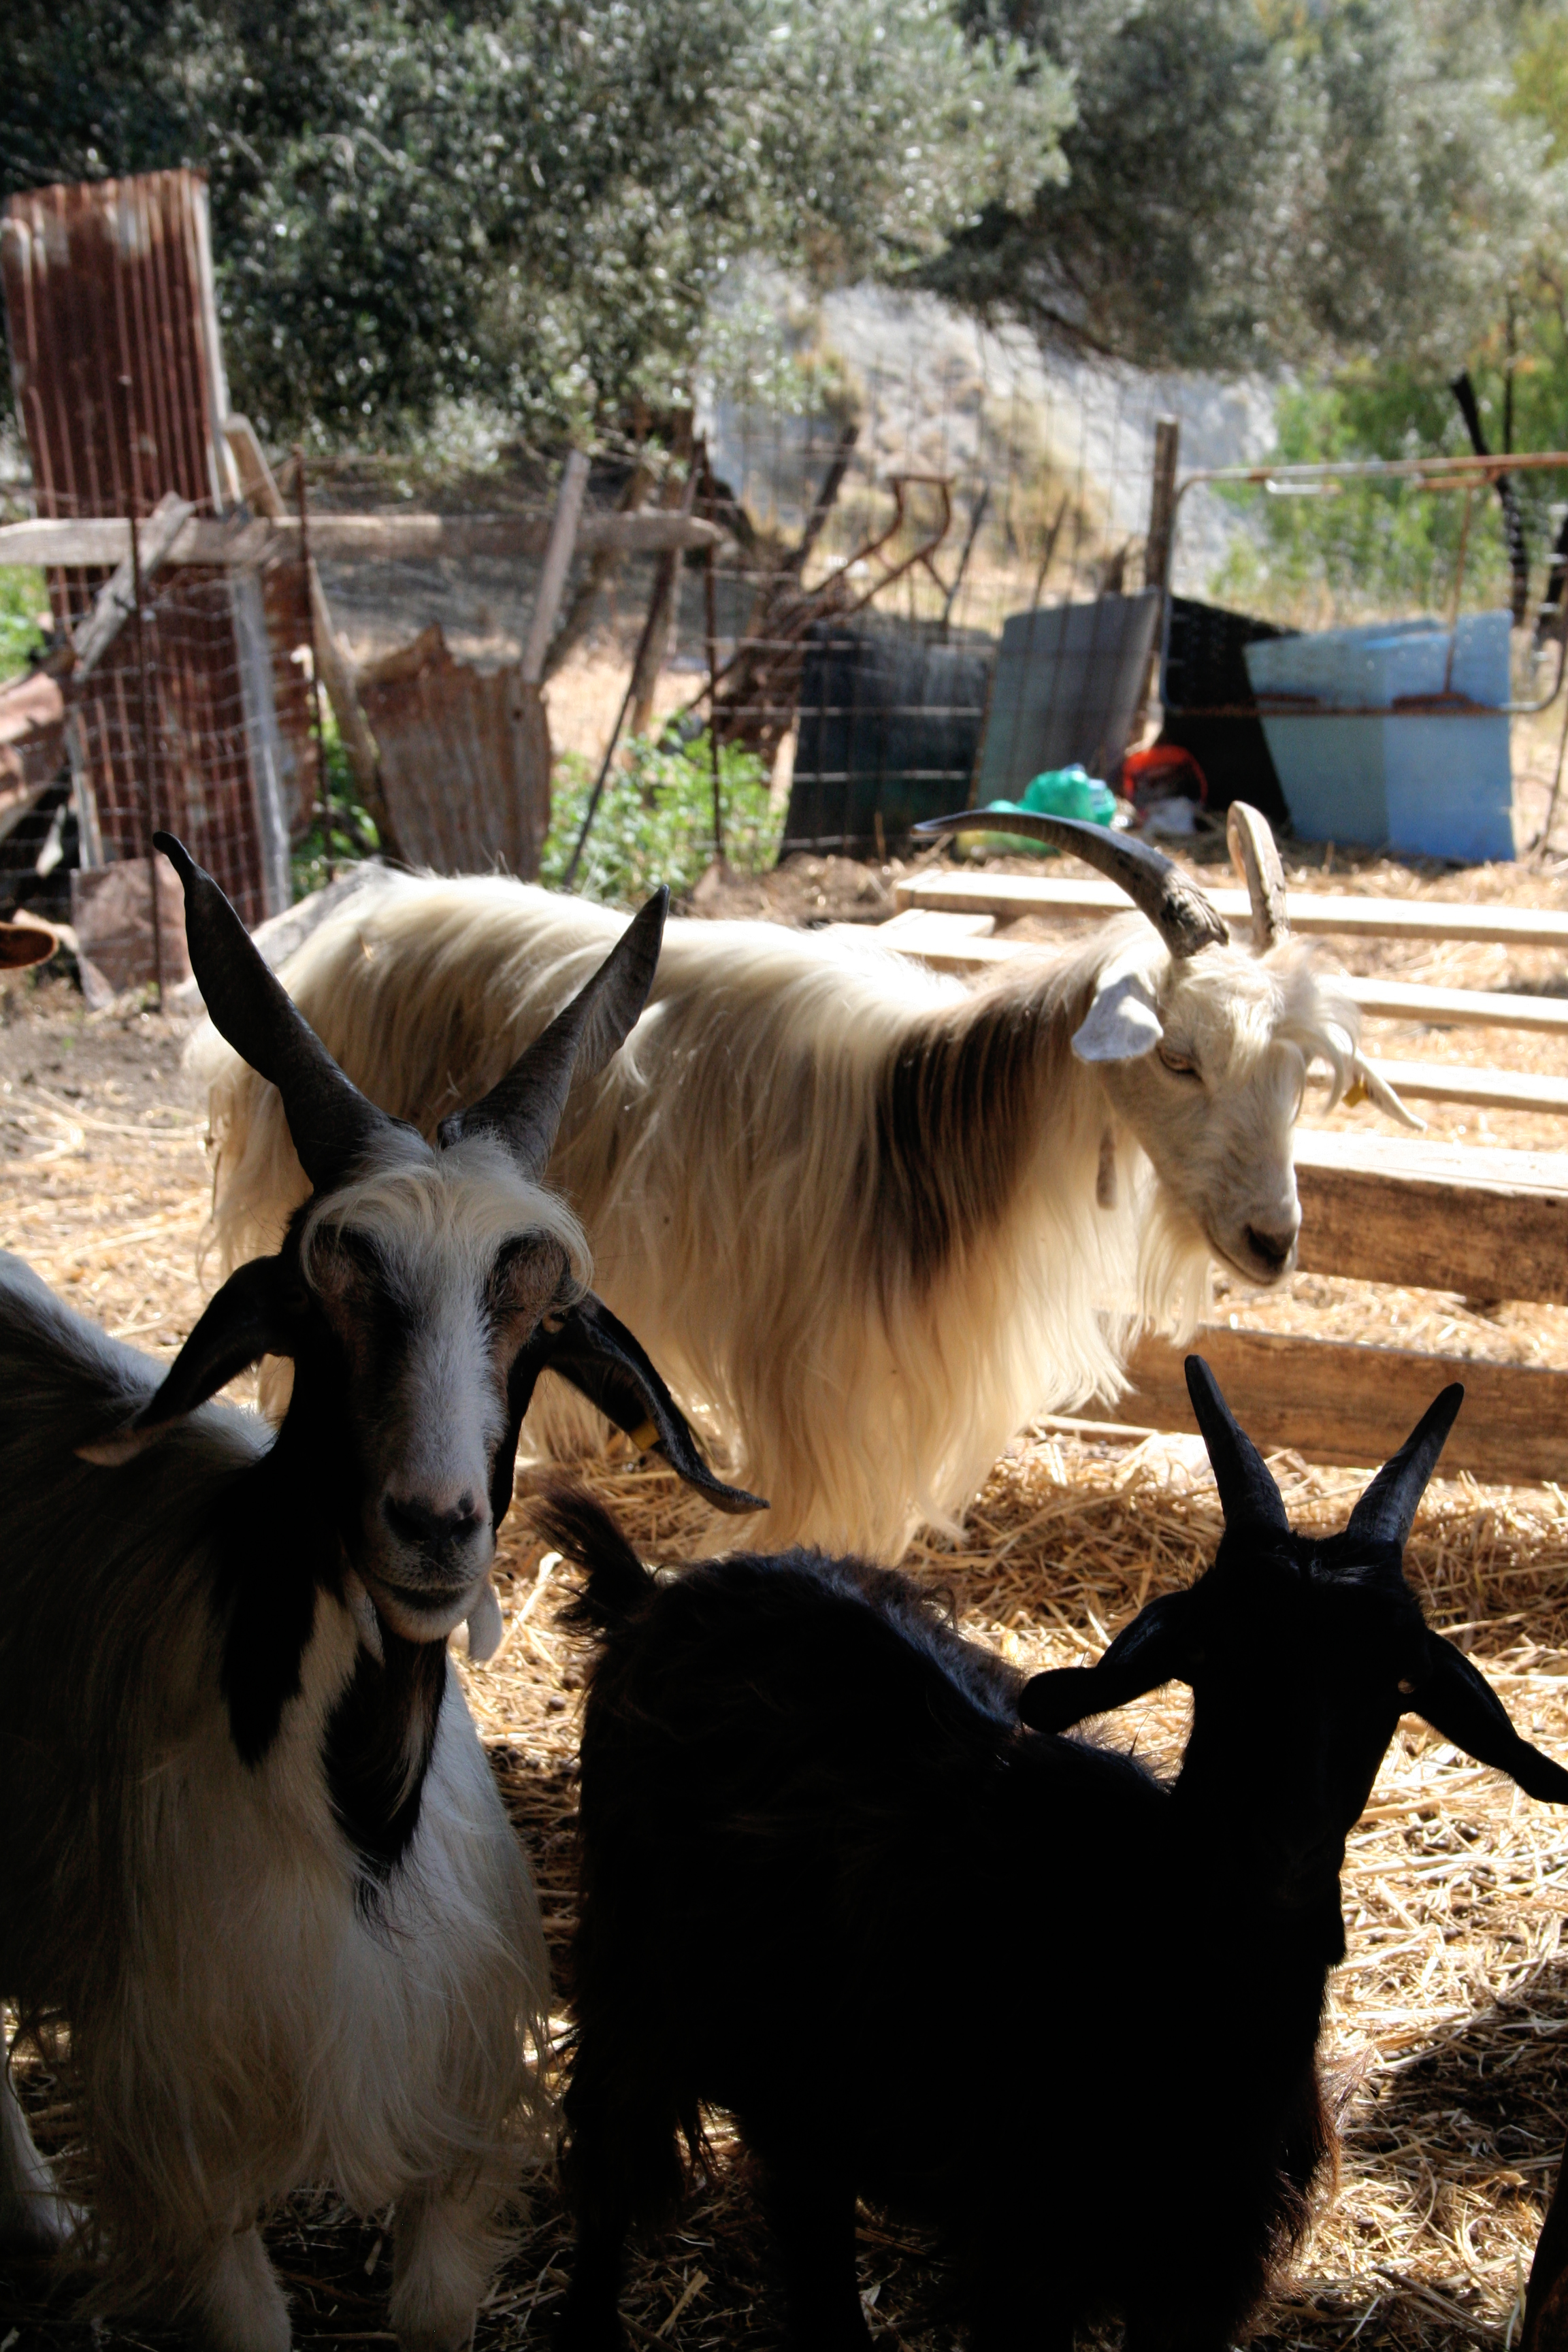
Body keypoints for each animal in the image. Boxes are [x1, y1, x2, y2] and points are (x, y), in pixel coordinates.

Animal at [0, 835, 756, 2352]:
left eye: (540, 1321)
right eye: (317, 1300)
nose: (434, 1528)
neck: (349, 1818)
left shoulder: (446, 2107)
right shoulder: (191, 2132)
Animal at [191, 805, 1410, 1561]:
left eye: (1301, 1072)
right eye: (1179, 1058)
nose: (1273, 1242)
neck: (934, 1124)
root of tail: (349, 926)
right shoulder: (816, 1390)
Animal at [540, 1357, 1568, 2351]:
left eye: (1401, 1683)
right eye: (1206, 1655)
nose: (1279, 1863)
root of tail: (658, 1595)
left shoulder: (1205, 2273)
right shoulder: (1026, 2259)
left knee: (807, 2217)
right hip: (633, 1978)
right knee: (608, 2162)